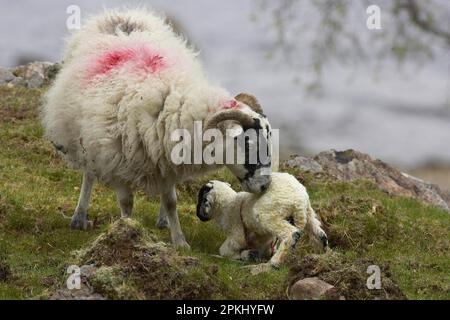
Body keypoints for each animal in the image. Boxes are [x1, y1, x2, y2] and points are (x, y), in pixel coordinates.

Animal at [41, 6, 274, 248]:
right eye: (247, 144)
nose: (265, 186)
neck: (170, 104)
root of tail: (121, 14)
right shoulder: (116, 161)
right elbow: (126, 203)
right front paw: (126, 231)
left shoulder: (166, 159)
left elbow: (171, 201)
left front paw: (179, 241)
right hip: (86, 138)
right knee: (89, 174)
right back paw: (79, 217)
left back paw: (162, 221)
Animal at [195, 172, 328, 270]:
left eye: (201, 198)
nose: (198, 215)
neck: (227, 204)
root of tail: (299, 200)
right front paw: (251, 255)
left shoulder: (234, 229)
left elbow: (228, 248)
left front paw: (242, 256)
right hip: (308, 213)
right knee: (320, 234)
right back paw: (322, 253)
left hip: (268, 213)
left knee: (291, 233)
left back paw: (274, 262)